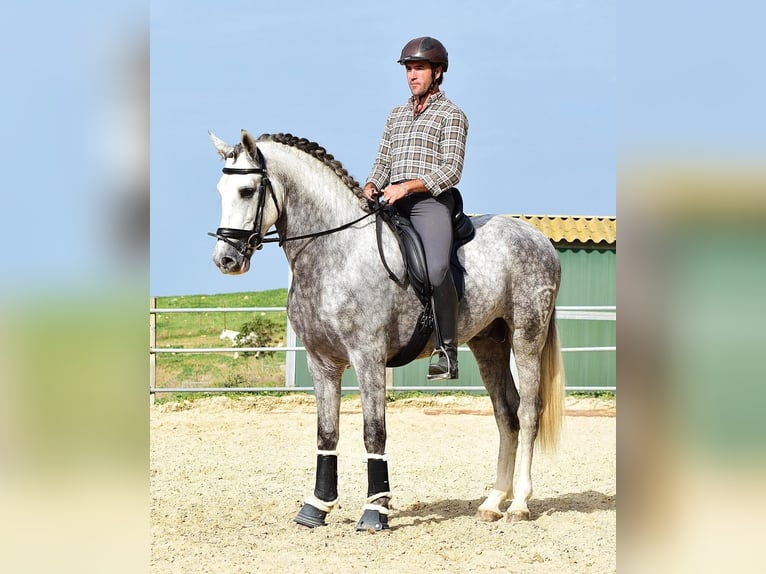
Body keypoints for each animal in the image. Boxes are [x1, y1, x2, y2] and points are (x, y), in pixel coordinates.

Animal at [208, 129, 565, 531]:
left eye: (247, 191)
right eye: (221, 190)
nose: (226, 259)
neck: (336, 253)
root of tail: (539, 238)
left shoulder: (368, 358)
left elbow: (373, 432)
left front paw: (375, 511)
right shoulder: (321, 362)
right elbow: (326, 432)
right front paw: (317, 507)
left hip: (526, 335)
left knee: (529, 412)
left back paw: (519, 503)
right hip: (489, 342)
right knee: (506, 414)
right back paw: (492, 502)